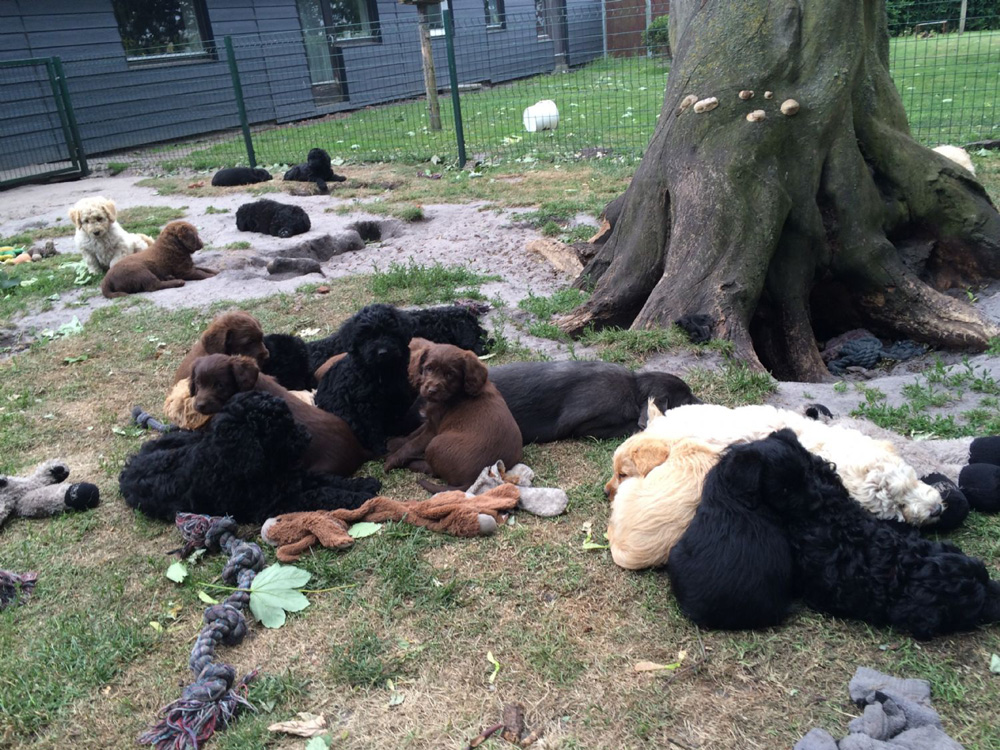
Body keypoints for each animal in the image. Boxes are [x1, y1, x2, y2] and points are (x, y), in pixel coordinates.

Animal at [120, 391, 379, 523]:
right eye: (278, 429)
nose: (307, 437)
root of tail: (130, 465)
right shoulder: (277, 503)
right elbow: (319, 493)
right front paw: (358, 498)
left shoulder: (294, 477)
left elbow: (327, 480)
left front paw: (364, 484)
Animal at [313, 304, 418, 455]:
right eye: (366, 338)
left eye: (390, 333)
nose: (382, 352)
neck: (381, 373)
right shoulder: (366, 405)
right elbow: (373, 428)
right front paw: (380, 449)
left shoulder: (400, 393)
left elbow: (399, 414)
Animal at [384, 342, 523, 490]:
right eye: (428, 368)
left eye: (450, 374)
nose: (431, 390)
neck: (457, 392)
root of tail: (474, 479)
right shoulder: (431, 421)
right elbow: (414, 434)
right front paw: (395, 442)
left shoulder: (433, 431)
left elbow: (412, 445)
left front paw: (391, 460)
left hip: (435, 444)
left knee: (433, 471)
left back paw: (412, 463)